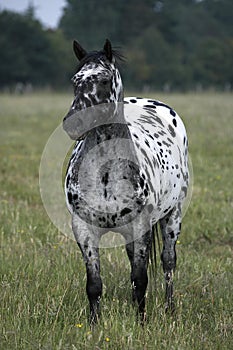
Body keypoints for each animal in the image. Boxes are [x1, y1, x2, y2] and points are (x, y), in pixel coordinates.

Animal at [62, 39, 189, 326]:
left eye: (104, 79)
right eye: (75, 80)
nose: (73, 124)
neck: (106, 173)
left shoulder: (141, 226)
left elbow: (141, 279)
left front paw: (141, 323)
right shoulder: (83, 228)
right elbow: (94, 284)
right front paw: (93, 325)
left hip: (173, 215)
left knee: (168, 262)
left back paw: (169, 309)